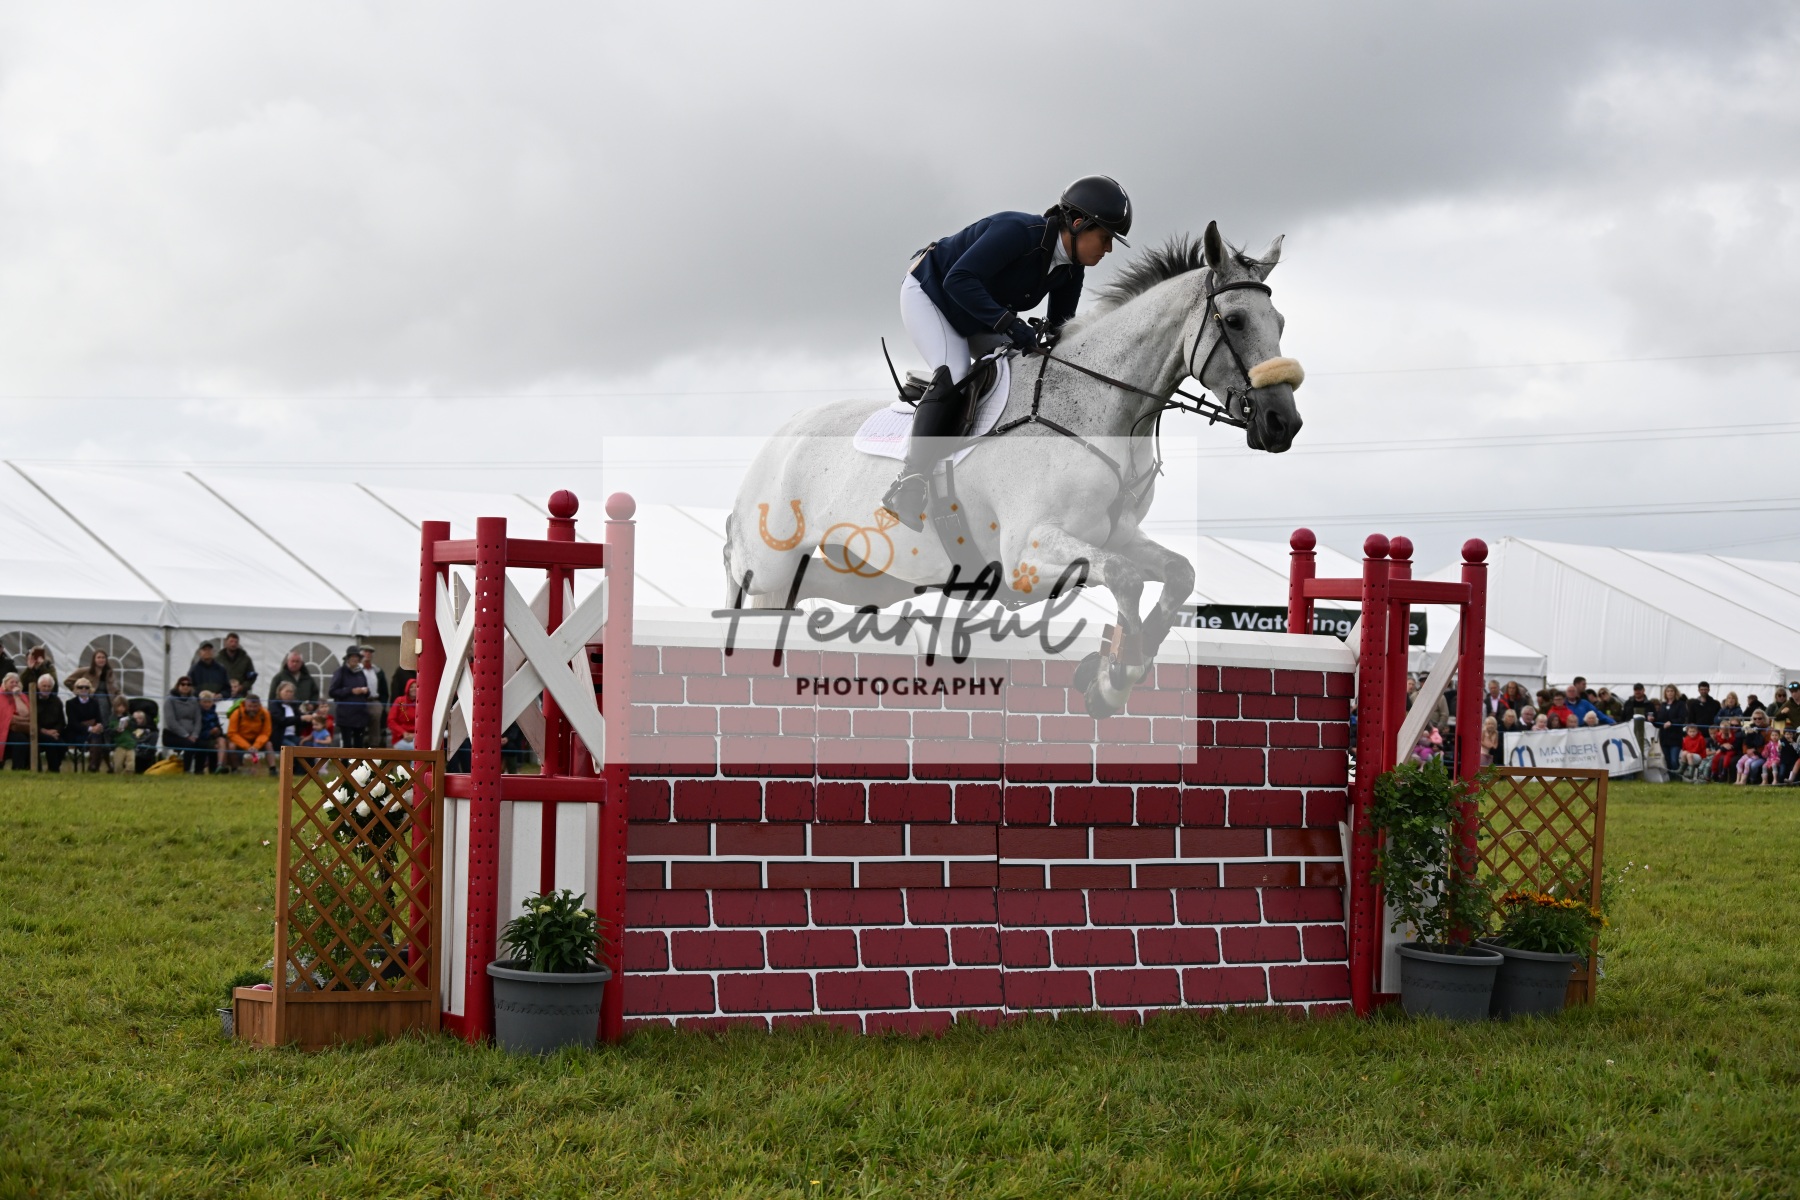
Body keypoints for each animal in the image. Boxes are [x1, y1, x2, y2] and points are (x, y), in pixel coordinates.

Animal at [724, 220, 1305, 716]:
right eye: (1234, 321)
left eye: (1279, 323)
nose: (1283, 424)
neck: (1099, 406)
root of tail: (781, 436)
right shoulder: (1028, 551)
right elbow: (1125, 577)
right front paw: (1114, 679)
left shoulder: (1116, 534)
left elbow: (1176, 573)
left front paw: (1113, 676)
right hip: (770, 562)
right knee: (747, 580)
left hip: (875, 576)